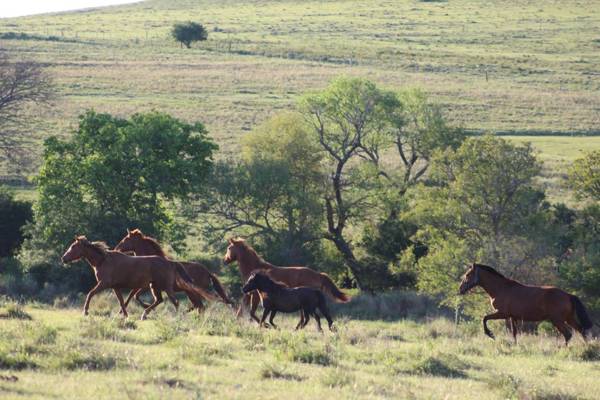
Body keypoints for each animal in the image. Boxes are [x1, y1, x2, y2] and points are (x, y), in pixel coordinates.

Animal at [61, 236, 211, 320]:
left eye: (73, 246)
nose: (64, 258)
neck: (103, 261)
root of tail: (170, 262)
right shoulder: (115, 287)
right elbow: (122, 301)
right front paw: (125, 315)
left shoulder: (104, 284)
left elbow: (90, 294)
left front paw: (85, 311)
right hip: (154, 286)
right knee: (160, 300)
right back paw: (144, 314)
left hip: (168, 288)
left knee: (177, 302)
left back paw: (177, 317)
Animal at [460, 262, 596, 344]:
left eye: (468, 274)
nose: (460, 289)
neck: (501, 288)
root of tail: (568, 295)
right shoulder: (512, 317)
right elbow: (514, 333)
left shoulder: (502, 313)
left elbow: (484, 318)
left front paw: (490, 334)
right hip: (569, 319)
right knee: (582, 331)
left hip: (558, 320)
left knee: (568, 334)